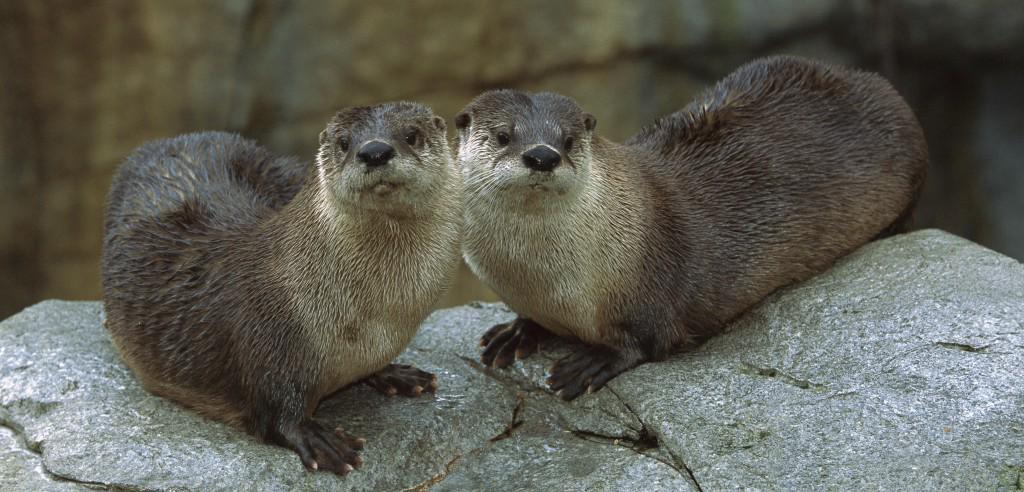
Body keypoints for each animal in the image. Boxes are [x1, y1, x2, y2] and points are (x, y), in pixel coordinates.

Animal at [100, 102, 462, 474]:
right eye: (344, 143)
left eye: (411, 135)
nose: (374, 151)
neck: (375, 320)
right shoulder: (266, 339)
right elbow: (274, 413)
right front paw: (318, 440)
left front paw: (394, 373)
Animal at [456, 56, 927, 400]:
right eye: (503, 136)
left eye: (568, 141)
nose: (542, 155)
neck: (540, 279)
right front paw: (517, 331)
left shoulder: (654, 289)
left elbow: (647, 340)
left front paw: (591, 363)